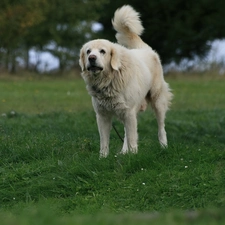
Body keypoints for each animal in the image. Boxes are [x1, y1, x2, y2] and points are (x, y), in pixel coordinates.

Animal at [79, 4, 172, 156]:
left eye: (102, 51)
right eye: (88, 51)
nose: (92, 58)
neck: (108, 80)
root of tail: (144, 48)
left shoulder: (129, 113)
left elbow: (133, 137)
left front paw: (133, 156)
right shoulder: (103, 116)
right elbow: (104, 141)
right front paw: (103, 157)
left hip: (157, 101)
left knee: (161, 127)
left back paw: (164, 146)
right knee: (126, 133)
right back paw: (123, 151)